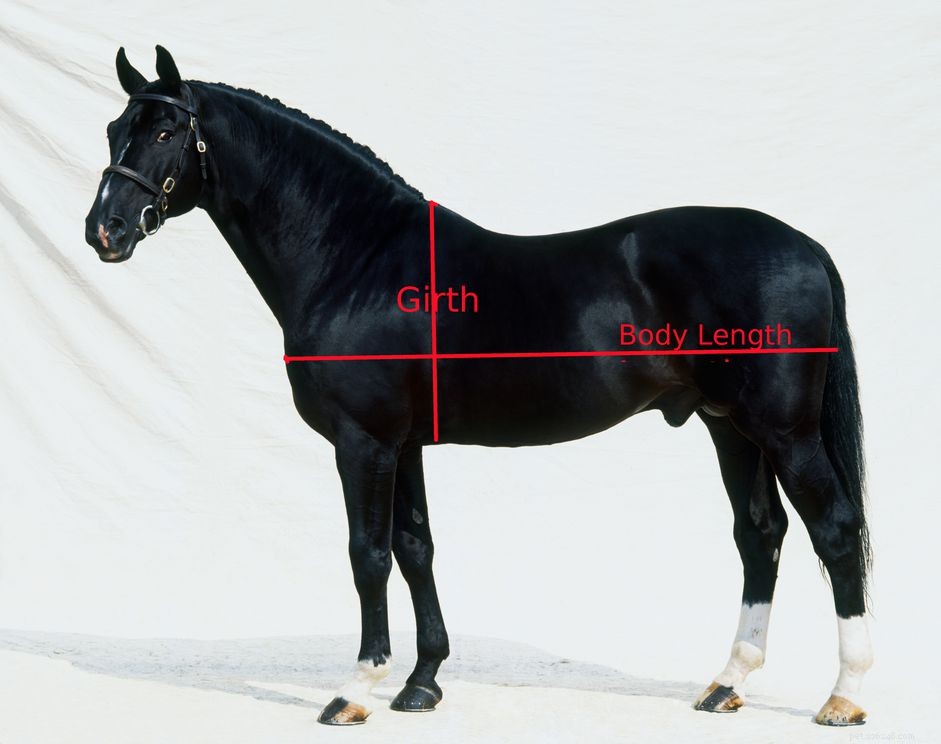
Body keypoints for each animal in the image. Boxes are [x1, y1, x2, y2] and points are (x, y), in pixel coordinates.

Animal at [84, 46, 872, 727]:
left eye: (164, 131)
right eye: (115, 129)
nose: (105, 231)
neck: (356, 259)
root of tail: (805, 245)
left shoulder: (362, 442)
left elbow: (367, 555)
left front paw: (356, 689)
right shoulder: (403, 445)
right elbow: (414, 548)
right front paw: (422, 682)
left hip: (784, 431)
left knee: (833, 530)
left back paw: (844, 697)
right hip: (728, 425)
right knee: (759, 534)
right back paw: (726, 684)